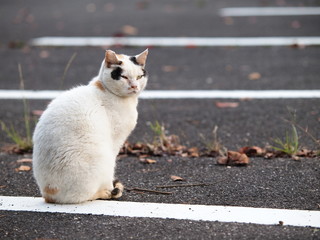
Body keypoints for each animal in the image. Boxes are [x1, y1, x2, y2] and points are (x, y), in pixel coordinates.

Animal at [31, 49, 149, 203]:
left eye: (139, 76)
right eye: (123, 77)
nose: (134, 86)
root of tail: (48, 193)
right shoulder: (115, 142)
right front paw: (111, 188)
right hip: (102, 159)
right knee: (85, 195)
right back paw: (107, 192)